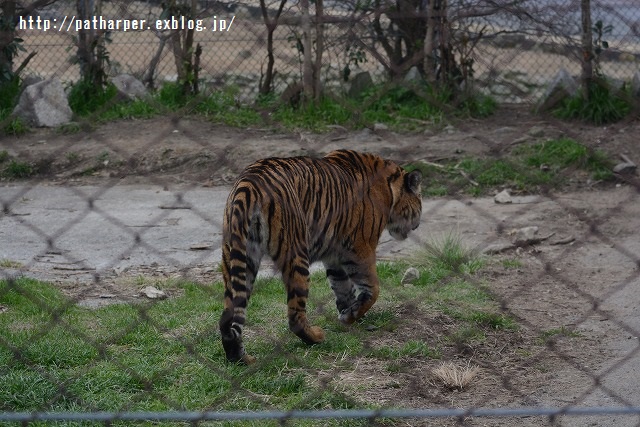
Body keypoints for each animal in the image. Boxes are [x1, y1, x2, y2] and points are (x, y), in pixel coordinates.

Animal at [218, 150, 422, 364]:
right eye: (419, 200)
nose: (417, 224)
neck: (390, 187)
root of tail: (249, 183)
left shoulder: (335, 256)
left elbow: (343, 288)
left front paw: (347, 314)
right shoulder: (361, 249)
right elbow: (373, 289)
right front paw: (352, 314)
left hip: (239, 258)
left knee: (230, 314)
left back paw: (239, 357)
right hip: (296, 253)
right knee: (295, 317)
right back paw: (316, 337)